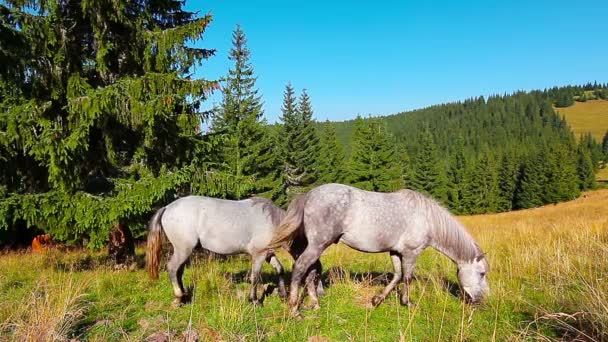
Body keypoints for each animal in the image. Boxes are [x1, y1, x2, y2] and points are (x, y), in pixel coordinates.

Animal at [146, 196, 294, 306]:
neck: (272, 220)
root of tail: (167, 208)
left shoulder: (268, 254)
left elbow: (280, 269)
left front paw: (283, 295)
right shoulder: (259, 254)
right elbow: (255, 277)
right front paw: (255, 301)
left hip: (183, 251)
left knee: (179, 271)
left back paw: (184, 297)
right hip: (183, 250)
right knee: (172, 268)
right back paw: (178, 298)